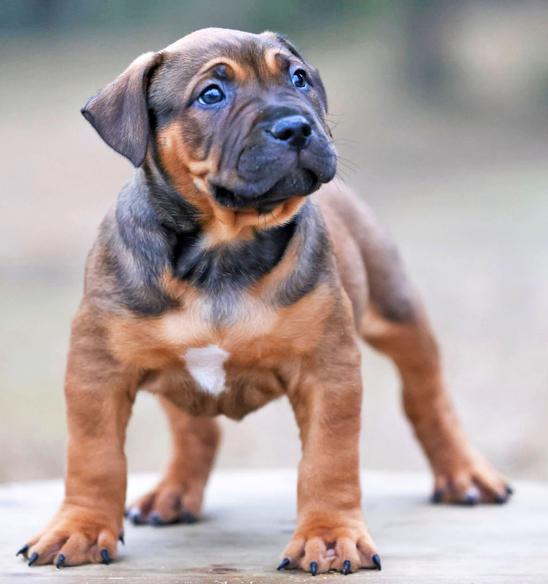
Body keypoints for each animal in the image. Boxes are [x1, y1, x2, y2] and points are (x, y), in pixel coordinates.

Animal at [17, 28, 512, 574]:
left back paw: (464, 474)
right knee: (195, 430)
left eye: (298, 78)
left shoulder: (327, 369)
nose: (296, 127)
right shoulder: (97, 370)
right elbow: (94, 456)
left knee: (427, 397)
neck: (222, 248)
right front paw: (79, 528)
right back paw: (173, 493)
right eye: (211, 95)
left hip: (399, 310)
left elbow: (328, 460)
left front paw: (330, 538)